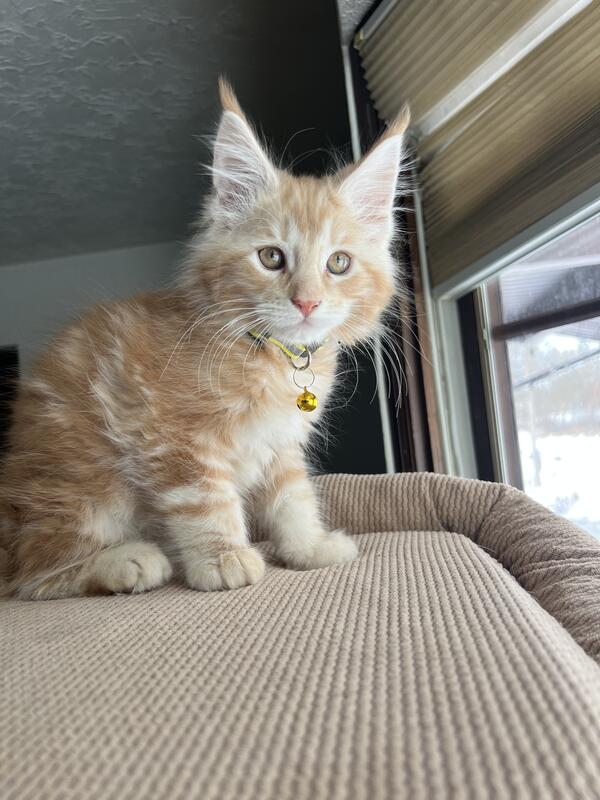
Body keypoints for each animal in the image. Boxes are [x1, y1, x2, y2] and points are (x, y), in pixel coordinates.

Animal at [0, 79, 409, 600]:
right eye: (272, 257)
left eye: (338, 263)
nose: (307, 302)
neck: (272, 356)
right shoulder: (172, 434)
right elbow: (204, 499)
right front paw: (224, 558)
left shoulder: (280, 444)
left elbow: (292, 496)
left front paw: (307, 546)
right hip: (86, 483)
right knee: (32, 573)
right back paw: (126, 562)